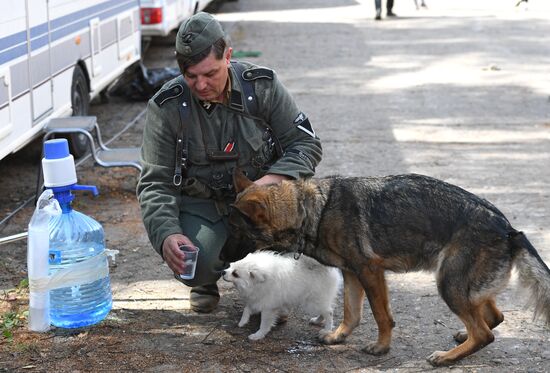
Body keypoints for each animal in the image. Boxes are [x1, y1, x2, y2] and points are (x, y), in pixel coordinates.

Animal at [222, 170, 550, 364]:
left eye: (236, 230)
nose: (223, 263)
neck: (310, 210)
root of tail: (509, 229)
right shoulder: (352, 274)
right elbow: (351, 312)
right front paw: (338, 337)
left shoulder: (370, 272)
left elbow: (381, 316)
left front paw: (381, 348)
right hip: (465, 288)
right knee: (494, 317)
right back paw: (462, 338)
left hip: (449, 285)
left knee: (484, 333)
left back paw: (447, 357)